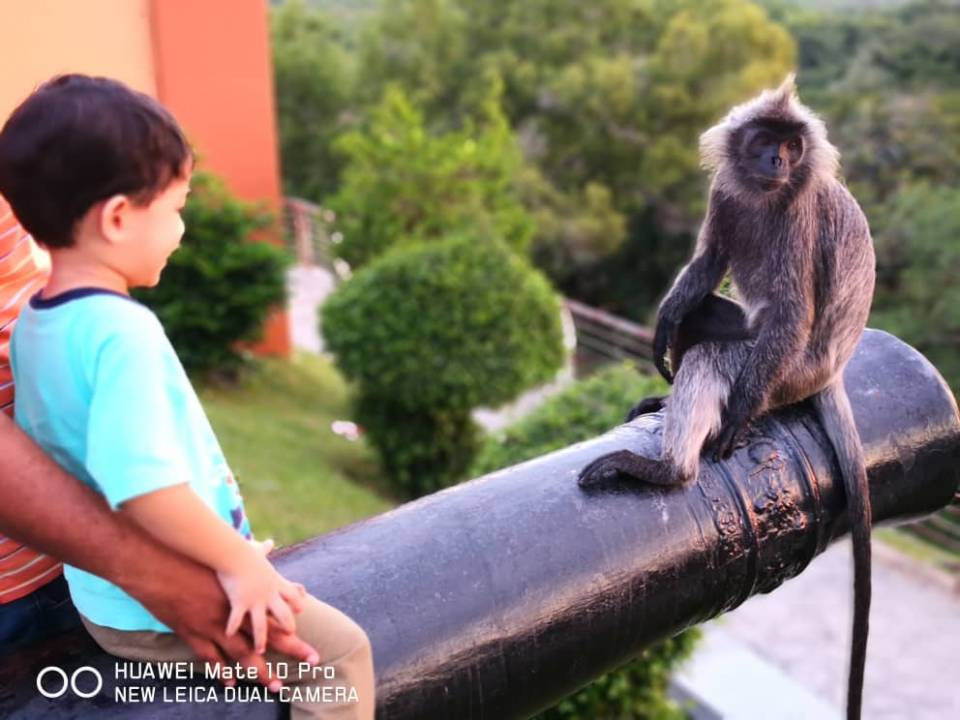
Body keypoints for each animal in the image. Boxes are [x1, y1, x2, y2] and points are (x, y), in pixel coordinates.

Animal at [576, 74, 876, 720]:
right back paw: (663, 401)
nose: (776, 161)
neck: (766, 197)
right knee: (698, 321)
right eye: (765, 140)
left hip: (781, 371)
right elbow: (710, 260)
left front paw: (732, 418)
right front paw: (664, 323)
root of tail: (830, 372)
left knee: (717, 356)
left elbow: (791, 310)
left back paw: (670, 469)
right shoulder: (725, 195)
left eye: (791, 147)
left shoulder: (796, 219)